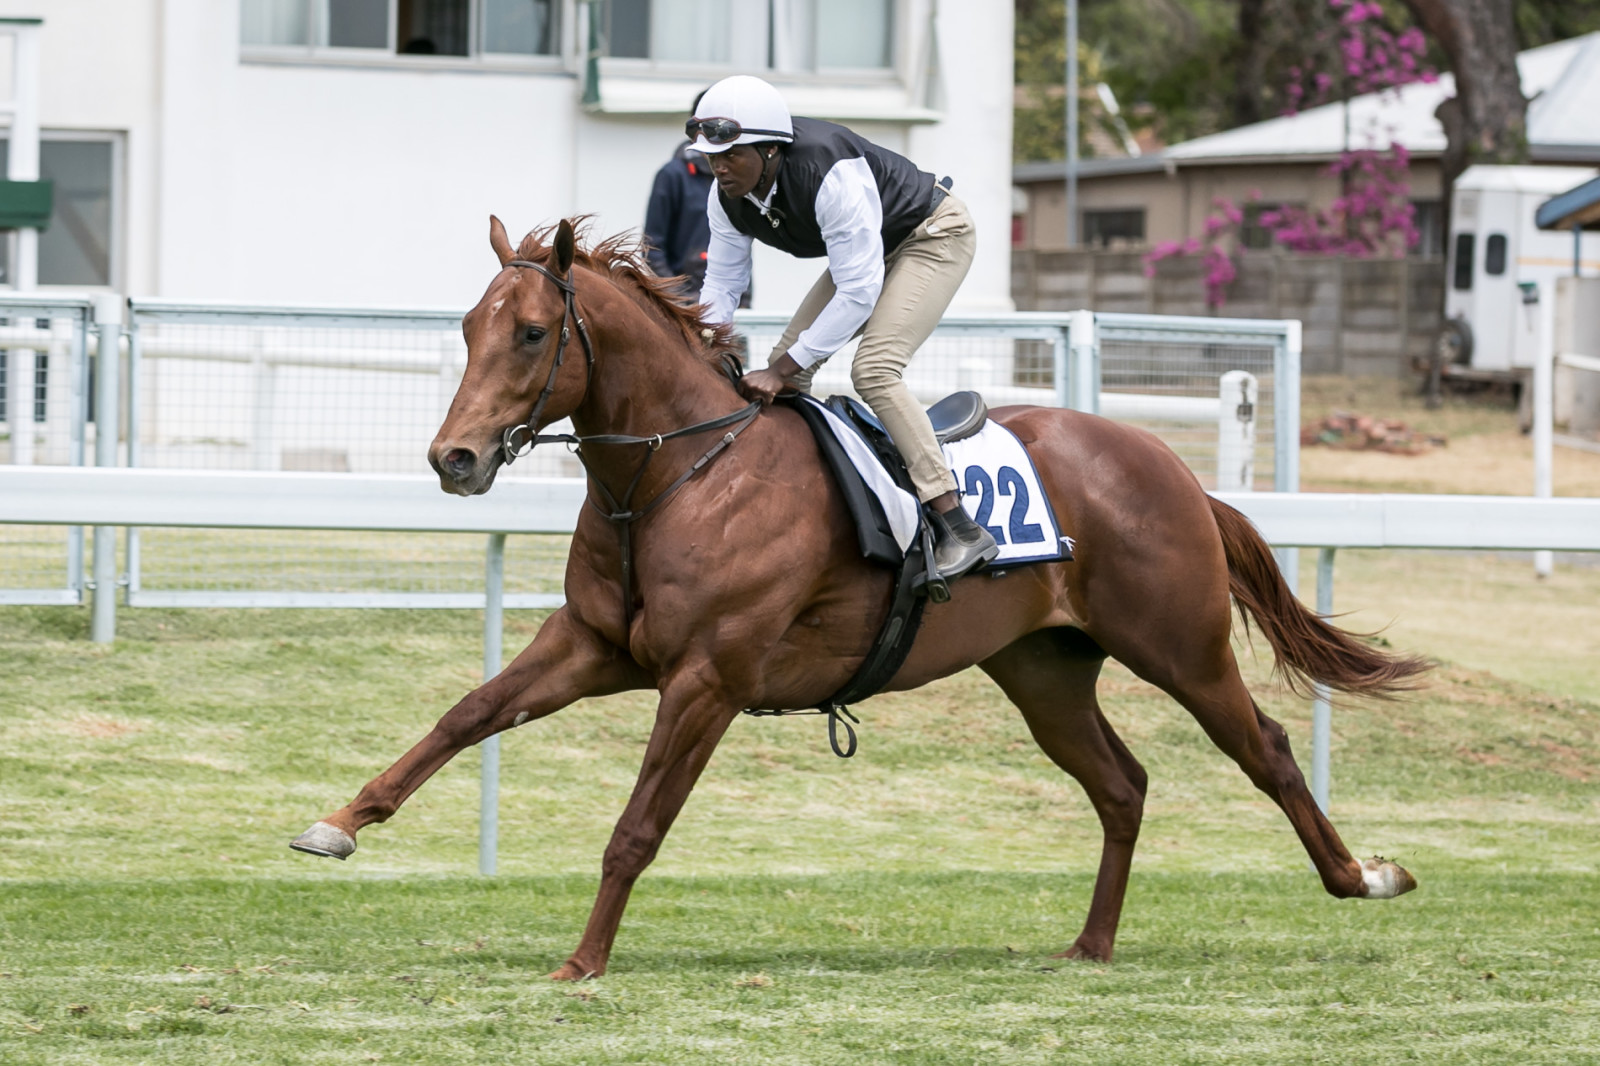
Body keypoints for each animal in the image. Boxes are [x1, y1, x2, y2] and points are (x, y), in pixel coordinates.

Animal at [294, 217, 1433, 979]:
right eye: (468, 325)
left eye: (532, 332)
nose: (454, 457)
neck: (677, 474)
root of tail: (1171, 468)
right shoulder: (594, 645)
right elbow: (468, 713)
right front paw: (341, 821)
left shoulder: (706, 679)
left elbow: (637, 825)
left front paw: (583, 960)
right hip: (1043, 669)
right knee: (1121, 784)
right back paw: (1092, 941)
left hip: (1180, 645)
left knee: (1266, 749)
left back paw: (1361, 876)